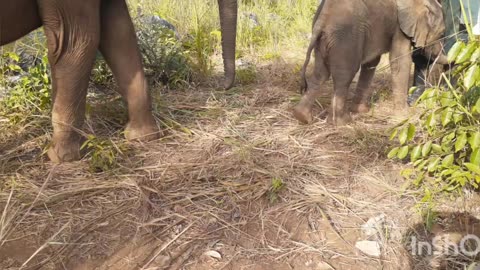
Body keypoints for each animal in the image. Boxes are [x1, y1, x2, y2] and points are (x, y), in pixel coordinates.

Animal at [292, 0, 446, 125]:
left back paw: (302, 117)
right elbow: (400, 60)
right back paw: (343, 122)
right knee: (344, 76)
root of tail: (323, 17)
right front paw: (404, 115)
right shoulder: (400, 27)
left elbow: (372, 62)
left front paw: (361, 110)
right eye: (442, 33)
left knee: (320, 74)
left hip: (325, 40)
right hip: (346, 37)